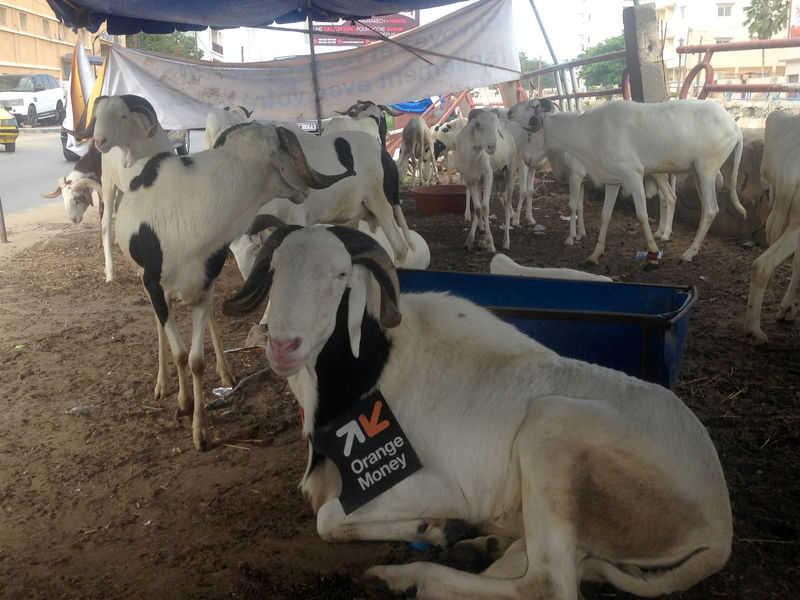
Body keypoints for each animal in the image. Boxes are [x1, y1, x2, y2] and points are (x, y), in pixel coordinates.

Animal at [222, 223, 736, 600]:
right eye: (275, 271)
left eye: (339, 276)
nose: (282, 344)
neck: (369, 375)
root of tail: (718, 524)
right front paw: (438, 529)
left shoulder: (436, 483)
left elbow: (327, 518)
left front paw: (434, 527)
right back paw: (477, 545)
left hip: (551, 434)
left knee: (547, 583)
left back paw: (407, 577)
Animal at [456, 109, 520, 252]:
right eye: (478, 124)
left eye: (496, 126)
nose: (492, 147)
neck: (472, 160)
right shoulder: (470, 181)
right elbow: (478, 208)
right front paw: (479, 236)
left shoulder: (488, 176)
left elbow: (485, 207)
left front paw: (490, 243)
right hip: (485, 182)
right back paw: (476, 240)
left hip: (510, 173)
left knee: (507, 205)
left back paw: (506, 242)